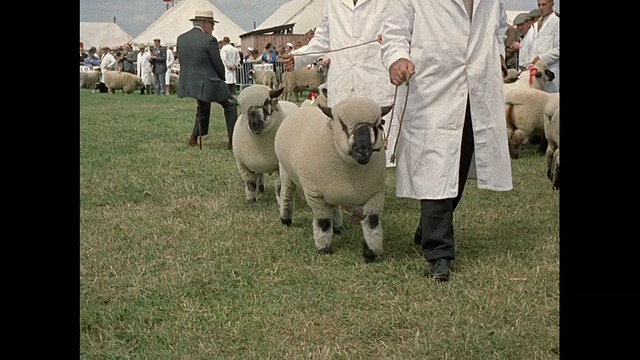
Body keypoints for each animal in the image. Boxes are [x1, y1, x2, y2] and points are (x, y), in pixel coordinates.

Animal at [276, 97, 396, 262]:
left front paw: (371, 252)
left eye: (378, 124)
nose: (364, 151)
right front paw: (324, 248)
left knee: (333, 207)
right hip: (285, 170)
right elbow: (323, 222)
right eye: (343, 125)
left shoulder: (375, 194)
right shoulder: (315, 195)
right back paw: (286, 219)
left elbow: (372, 222)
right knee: (286, 194)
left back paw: (337, 228)